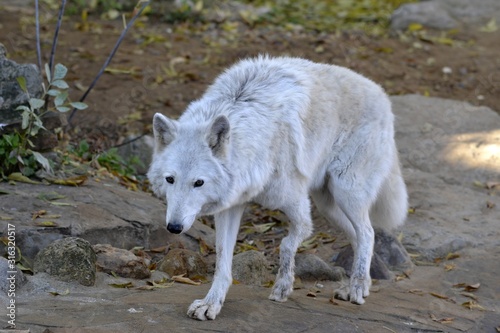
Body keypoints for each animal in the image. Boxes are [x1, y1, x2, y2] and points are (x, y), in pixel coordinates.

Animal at [146, 55, 408, 320]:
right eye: (170, 180)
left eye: (198, 183)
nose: (174, 227)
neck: (256, 141)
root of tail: (383, 95)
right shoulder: (231, 205)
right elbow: (222, 262)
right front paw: (211, 303)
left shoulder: (296, 202)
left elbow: (289, 241)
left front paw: (282, 286)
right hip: (329, 206)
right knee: (358, 236)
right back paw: (358, 285)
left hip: (347, 192)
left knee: (368, 233)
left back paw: (356, 288)